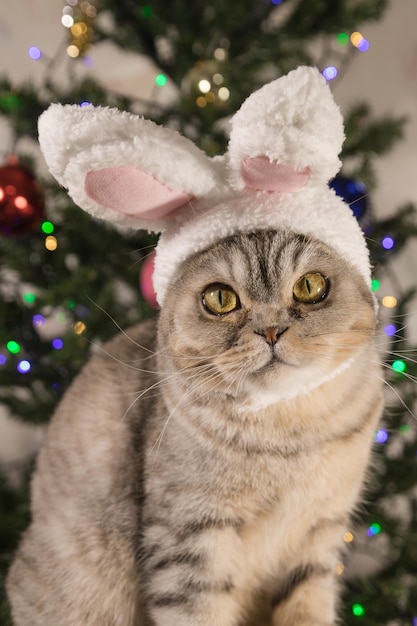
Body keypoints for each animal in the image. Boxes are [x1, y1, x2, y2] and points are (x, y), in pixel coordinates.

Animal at [6, 227, 384, 620]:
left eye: (310, 286)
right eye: (219, 298)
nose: (270, 331)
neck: (288, 433)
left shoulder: (319, 538)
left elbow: (307, 610)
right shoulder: (189, 539)